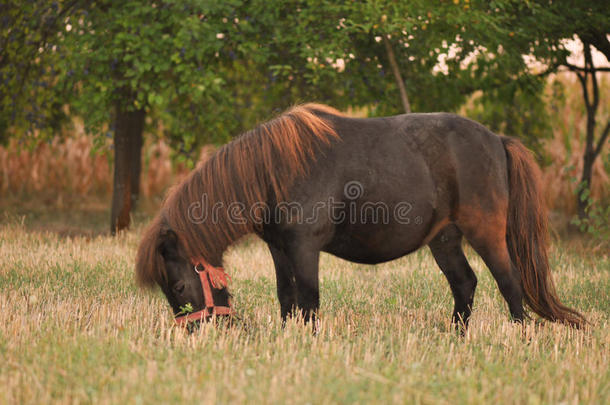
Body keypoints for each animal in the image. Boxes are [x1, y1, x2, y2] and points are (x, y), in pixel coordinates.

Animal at [135, 102, 580, 328]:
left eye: (178, 287)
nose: (201, 331)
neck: (274, 169)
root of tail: (497, 140)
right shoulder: (279, 249)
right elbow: (287, 298)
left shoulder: (304, 249)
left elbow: (309, 300)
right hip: (444, 239)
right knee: (465, 284)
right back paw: (456, 338)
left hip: (486, 232)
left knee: (510, 283)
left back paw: (518, 338)